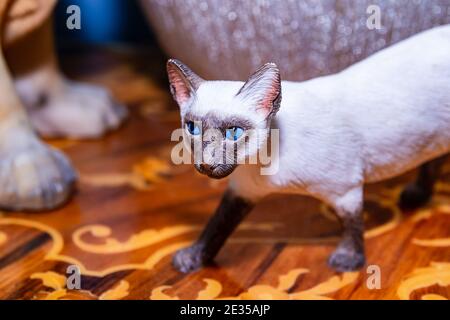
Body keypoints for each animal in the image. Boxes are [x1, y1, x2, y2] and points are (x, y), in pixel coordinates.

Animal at [168, 26, 450, 274]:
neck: (260, 165)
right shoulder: (242, 191)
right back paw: (419, 194)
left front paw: (349, 260)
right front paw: (194, 258)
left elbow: (352, 225)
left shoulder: (345, 191)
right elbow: (216, 227)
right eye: (193, 128)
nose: (206, 164)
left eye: (233, 132)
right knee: (433, 156)